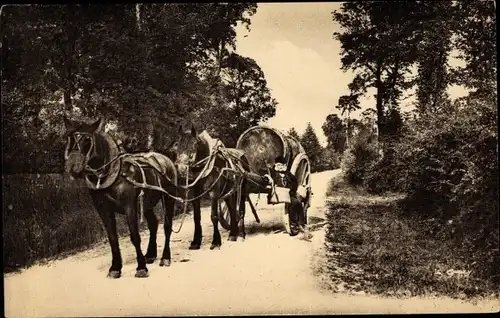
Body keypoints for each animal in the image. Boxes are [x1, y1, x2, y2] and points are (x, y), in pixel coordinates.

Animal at [62, 117, 177, 278]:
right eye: (68, 138)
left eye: (87, 140)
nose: (72, 168)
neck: (112, 175)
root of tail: (165, 159)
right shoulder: (103, 210)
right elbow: (112, 238)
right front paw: (115, 268)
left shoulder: (130, 207)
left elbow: (134, 236)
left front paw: (141, 268)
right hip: (146, 203)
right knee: (153, 224)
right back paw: (150, 255)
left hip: (168, 198)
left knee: (167, 226)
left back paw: (165, 257)